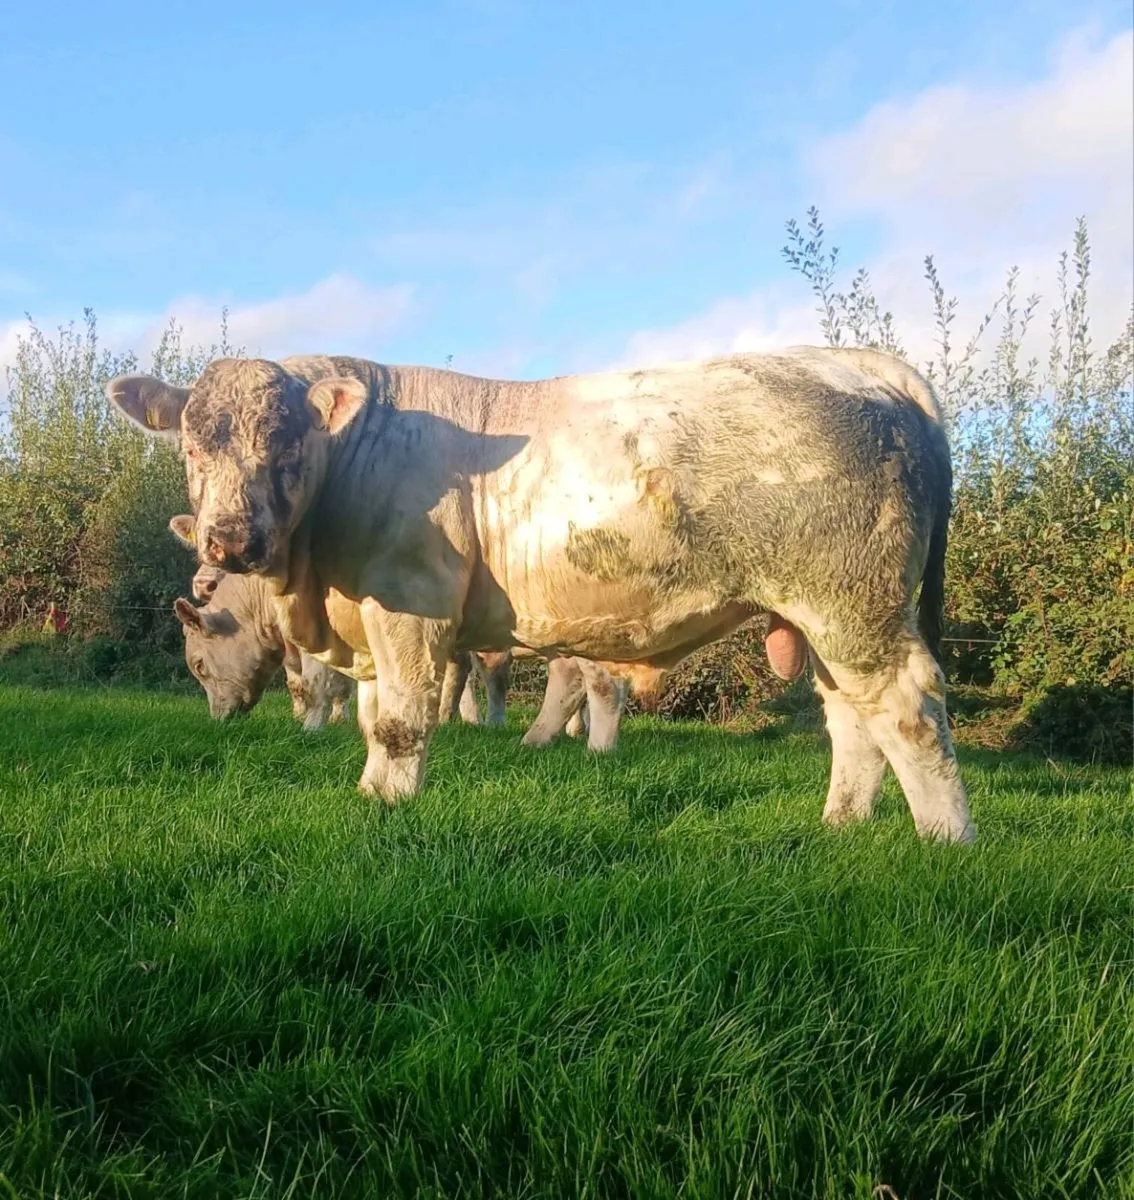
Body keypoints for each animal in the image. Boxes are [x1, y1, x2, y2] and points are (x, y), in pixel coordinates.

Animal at [108, 347, 975, 842]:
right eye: (191, 446)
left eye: (286, 445)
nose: (229, 538)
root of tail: (857, 362)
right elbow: (370, 718)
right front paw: (368, 793)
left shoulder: (410, 605)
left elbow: (396, 721)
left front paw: (390, 806)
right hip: (823, 615)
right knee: (852, 718)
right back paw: (840, 826)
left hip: (852, 606)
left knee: (906, 709)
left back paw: (946, 841)